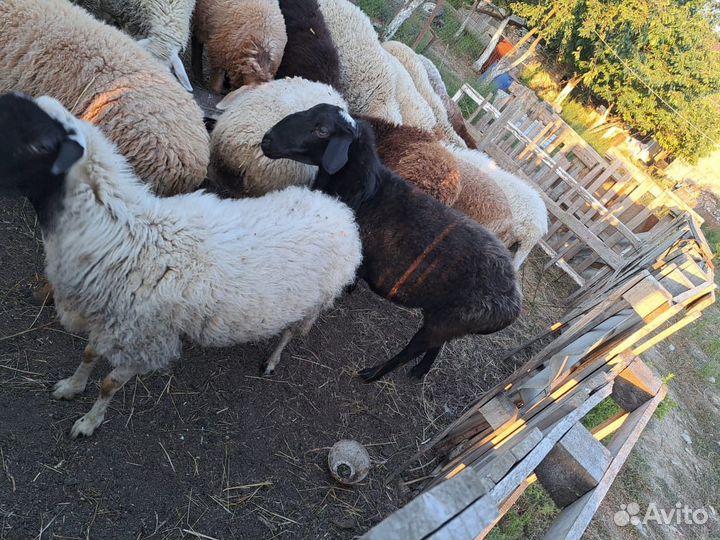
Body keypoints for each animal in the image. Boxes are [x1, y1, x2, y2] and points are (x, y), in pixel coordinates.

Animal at [0, 93, 362, 437]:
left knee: (291, 332)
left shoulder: (147, 338)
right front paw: (71, 387)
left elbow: (109, 384)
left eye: (38, 144)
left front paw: (89, 423)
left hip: (312, 303)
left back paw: (272, 360)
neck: (122, 234)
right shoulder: (112, 319)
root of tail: (337, 210)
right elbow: (89, 355)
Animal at [262, 104, 522, 382]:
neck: (364, 189)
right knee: (435, 347)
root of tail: (513, 300)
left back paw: (372, 374)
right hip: (444, 319)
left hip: (446, 322)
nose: (267, 139)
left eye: (322, 131)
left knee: (412, 350)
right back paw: (419, 372)